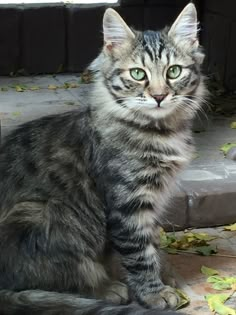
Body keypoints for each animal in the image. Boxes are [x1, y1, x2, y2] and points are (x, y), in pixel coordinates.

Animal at [0, 3, 206, 315]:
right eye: (138, 74)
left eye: (174, 71)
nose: (159, 96)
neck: (159, 131)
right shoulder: (128, 204)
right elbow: (140, 255)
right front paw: (154, 293)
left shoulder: (151, 202)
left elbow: (151, 244)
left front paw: (165, 274)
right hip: (42, 213)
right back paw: (107, 289)